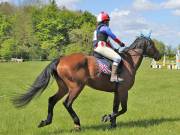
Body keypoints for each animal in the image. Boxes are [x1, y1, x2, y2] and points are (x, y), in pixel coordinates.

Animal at [13, 34, 162, 130]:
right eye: (153, 45)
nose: (159, 56)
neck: (128, 61)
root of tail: (61, 59)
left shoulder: (117, 91)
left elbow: (115, 108)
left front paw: (112, 124)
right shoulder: (123, 91)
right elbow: (123, 109)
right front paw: (107, 118)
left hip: (64, 87)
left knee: (52, 100)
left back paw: (46, 122)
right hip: (76, 87)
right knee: (67, 103)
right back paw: (77, 124)